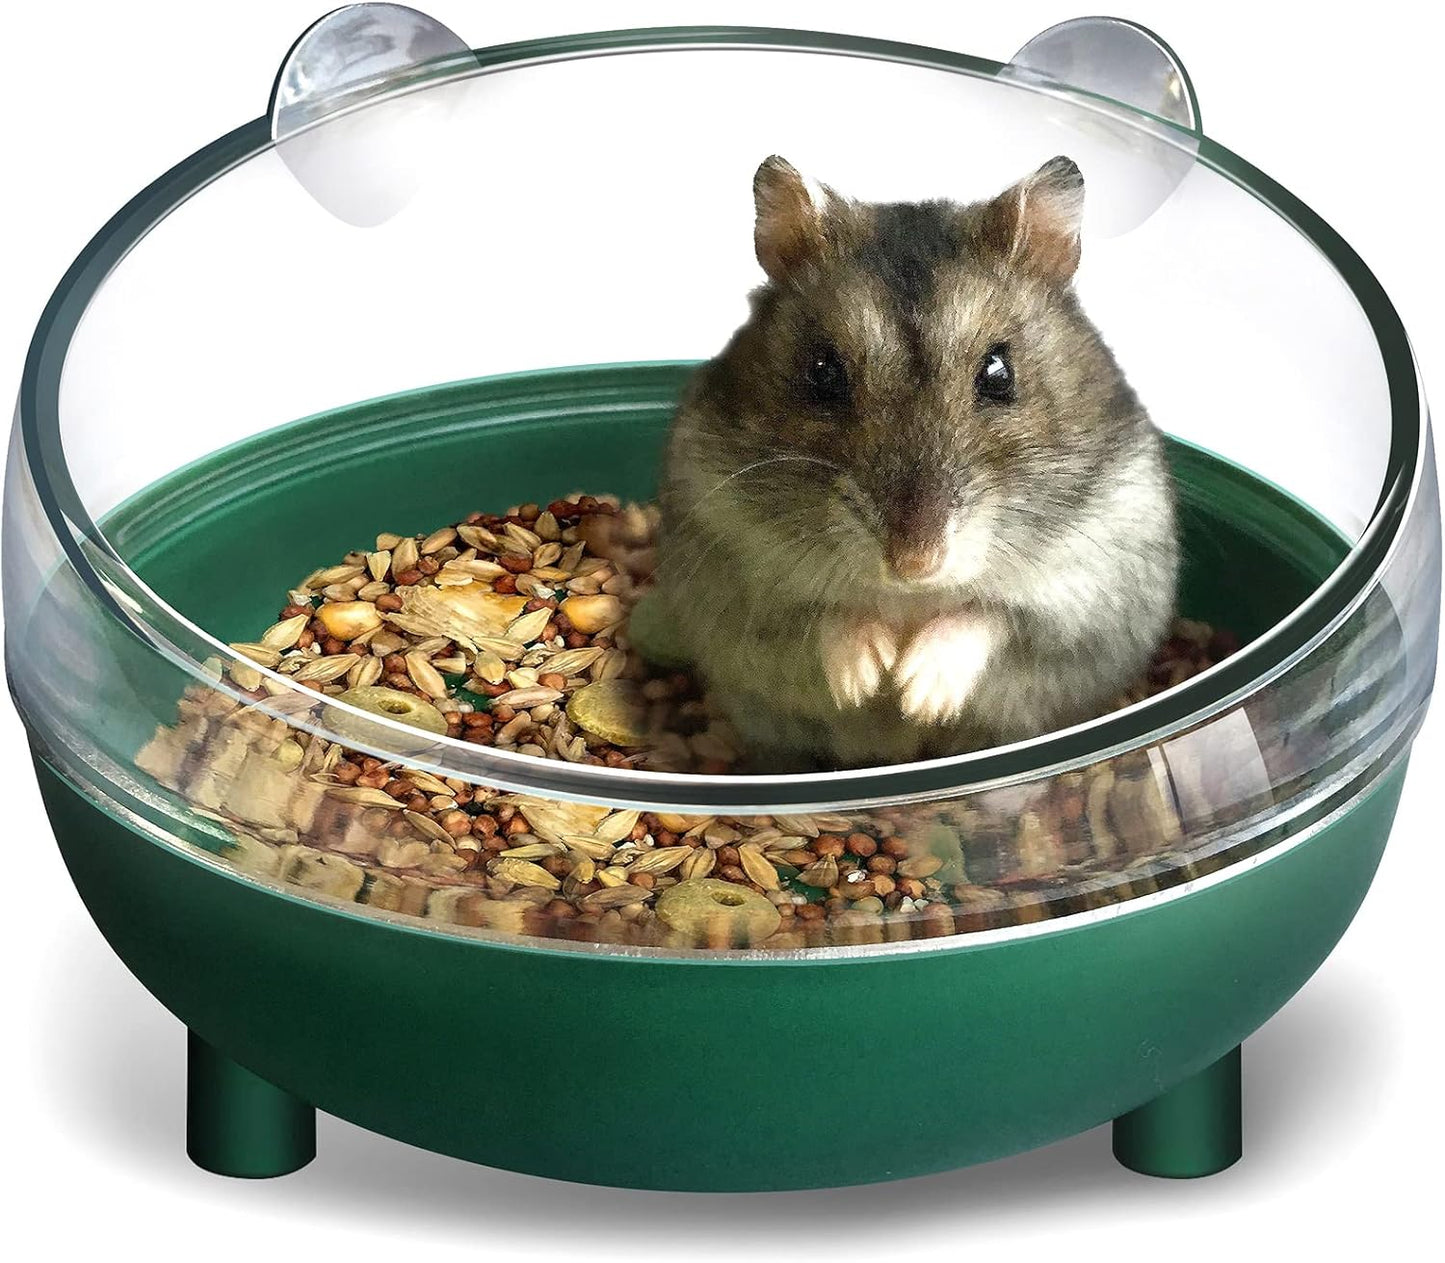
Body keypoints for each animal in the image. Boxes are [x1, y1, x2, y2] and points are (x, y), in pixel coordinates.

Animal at [644, 154, 1178, 769]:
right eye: (823, 373)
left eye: (999, 372)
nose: (915, 564)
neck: (908, 602)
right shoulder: (736, 575)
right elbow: (824, 615)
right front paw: (865, 682)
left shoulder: (1085, 598)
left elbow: (989, 615)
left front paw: (916, 694)